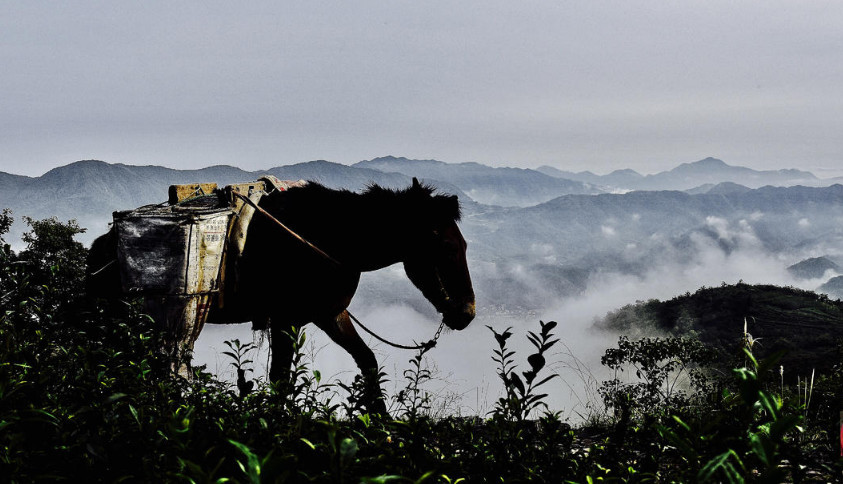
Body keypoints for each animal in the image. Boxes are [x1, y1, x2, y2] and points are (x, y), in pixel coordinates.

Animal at [90, 178, 482, 412]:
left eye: (464, 246)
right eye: (447, 247)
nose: (467, 314)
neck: (330, 238)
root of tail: (101, 247)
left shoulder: (329, 316)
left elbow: (368, 361)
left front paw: (381, 423)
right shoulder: (284, 321)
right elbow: (280, 381)